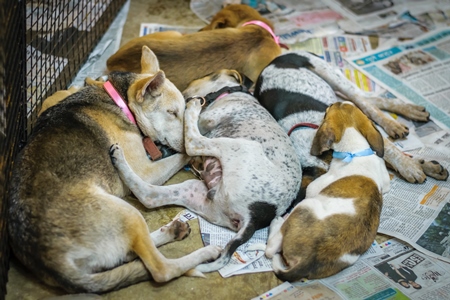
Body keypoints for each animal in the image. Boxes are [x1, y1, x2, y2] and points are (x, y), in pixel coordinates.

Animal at [255, 50, 448, 196]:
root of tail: (277, 58)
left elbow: (390, 151)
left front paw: (411, 168)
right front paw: (424, 165)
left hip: (332, 76)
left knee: (367, 103)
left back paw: (398, 121)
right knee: (370, 100)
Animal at [264, 101, 390, 282]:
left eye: (326, 112)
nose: (332, 102)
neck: (356, 150)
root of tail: (308, 261)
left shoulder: (313, 188)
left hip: (306, 206)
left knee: (270, 249)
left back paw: (277, 223)